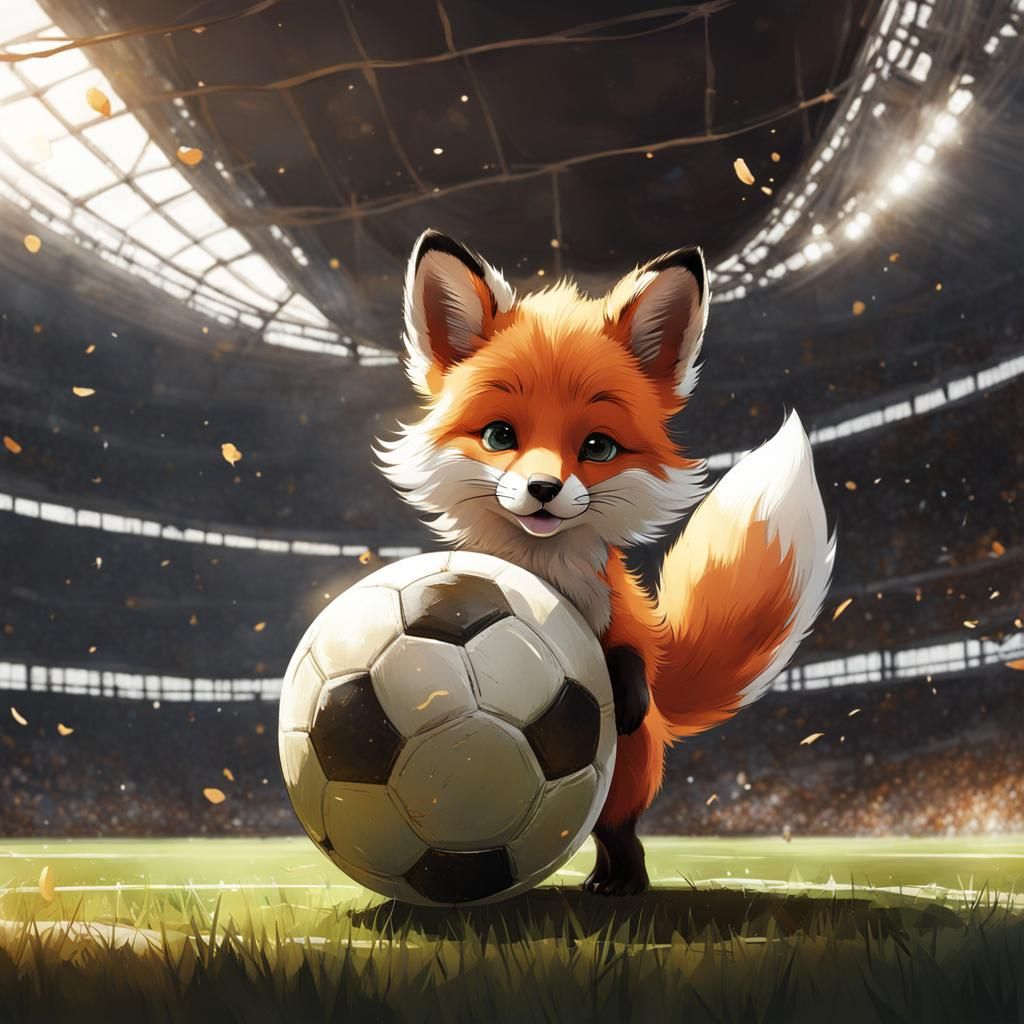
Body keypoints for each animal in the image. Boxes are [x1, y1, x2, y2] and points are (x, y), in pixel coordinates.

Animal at [376, 229, 835, 895]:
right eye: (498, 436)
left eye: (597, 447)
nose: (543, 488)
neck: (545, 570)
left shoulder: (621, 614)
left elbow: (633, 651)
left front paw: (627, 688)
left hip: (626, 773)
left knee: (619, 833)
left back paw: (622, 884)